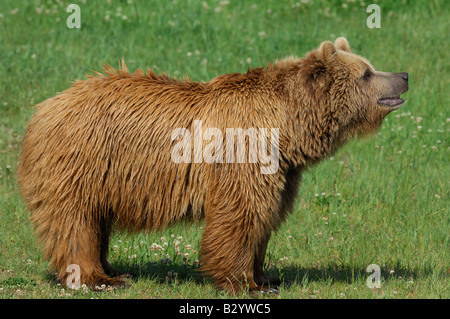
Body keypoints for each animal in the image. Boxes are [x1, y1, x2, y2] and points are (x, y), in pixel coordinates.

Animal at [16, 37, 408, 292]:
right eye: (367, 73)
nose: (403, 76)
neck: (288, 126)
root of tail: (45, 107)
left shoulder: (282, 169)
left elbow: (266, 216)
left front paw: (266, 276)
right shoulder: (245, 154)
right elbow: (241, 214)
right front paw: (243, 282)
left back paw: (111, 270)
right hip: (82, 162)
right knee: (76, 222)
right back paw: (97, 278)